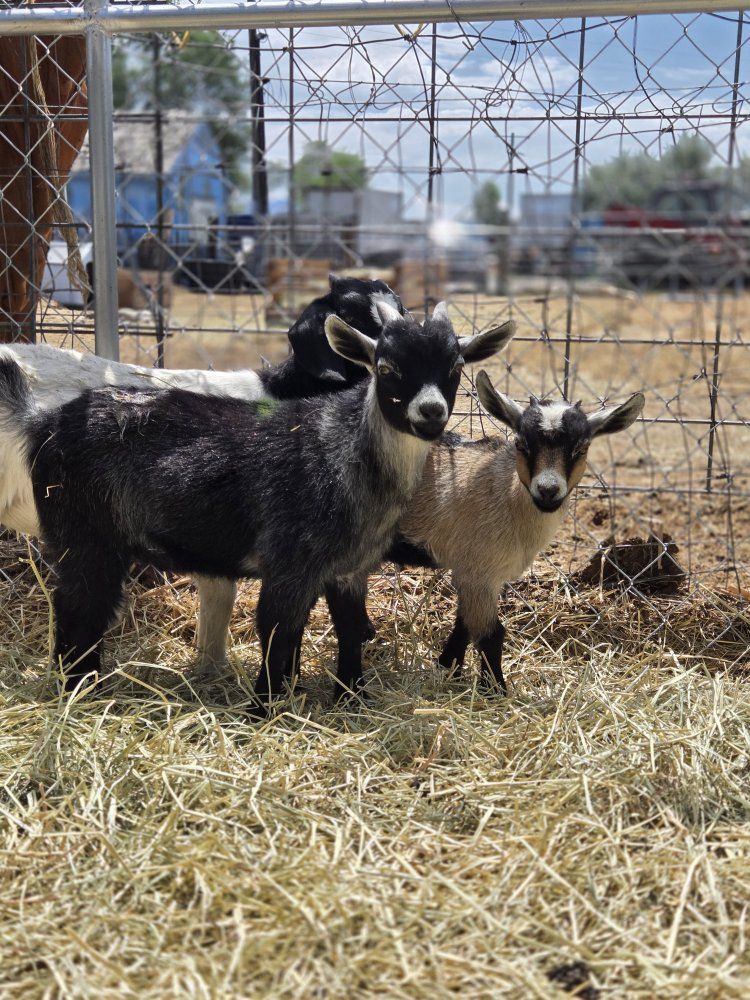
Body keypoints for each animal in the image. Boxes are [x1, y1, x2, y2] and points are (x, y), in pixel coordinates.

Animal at [327, 371, 645, 694]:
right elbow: (492, 634)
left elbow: (465, 624)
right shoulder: (479, 571)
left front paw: (449, 668)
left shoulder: (475, 571)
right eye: (521, 443)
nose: (548, 490)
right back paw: (350, 691)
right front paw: (495, 690)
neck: (505, 496)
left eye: (581, 448)